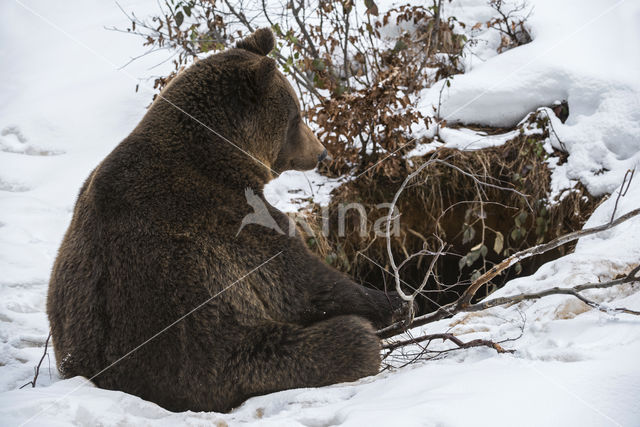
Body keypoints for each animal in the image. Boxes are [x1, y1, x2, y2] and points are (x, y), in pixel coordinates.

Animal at [46, 27, 404, 414]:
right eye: (296, 115)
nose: (321, 152)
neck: (221, 158)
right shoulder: (233, 221)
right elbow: (304, 281)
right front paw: (393, 301)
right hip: (214, 349)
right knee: (344, 341)